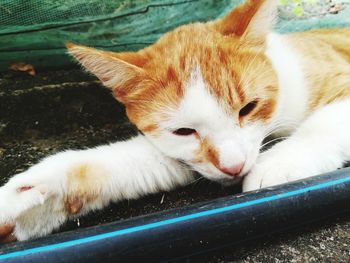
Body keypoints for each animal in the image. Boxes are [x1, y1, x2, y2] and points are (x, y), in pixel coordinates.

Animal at [0, 0, 350, 243]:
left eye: (248, 108)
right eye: (183, 131)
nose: (234, 167)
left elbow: (326, 122)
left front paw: (281, 163)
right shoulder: (185, 159)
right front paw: (29, 199)